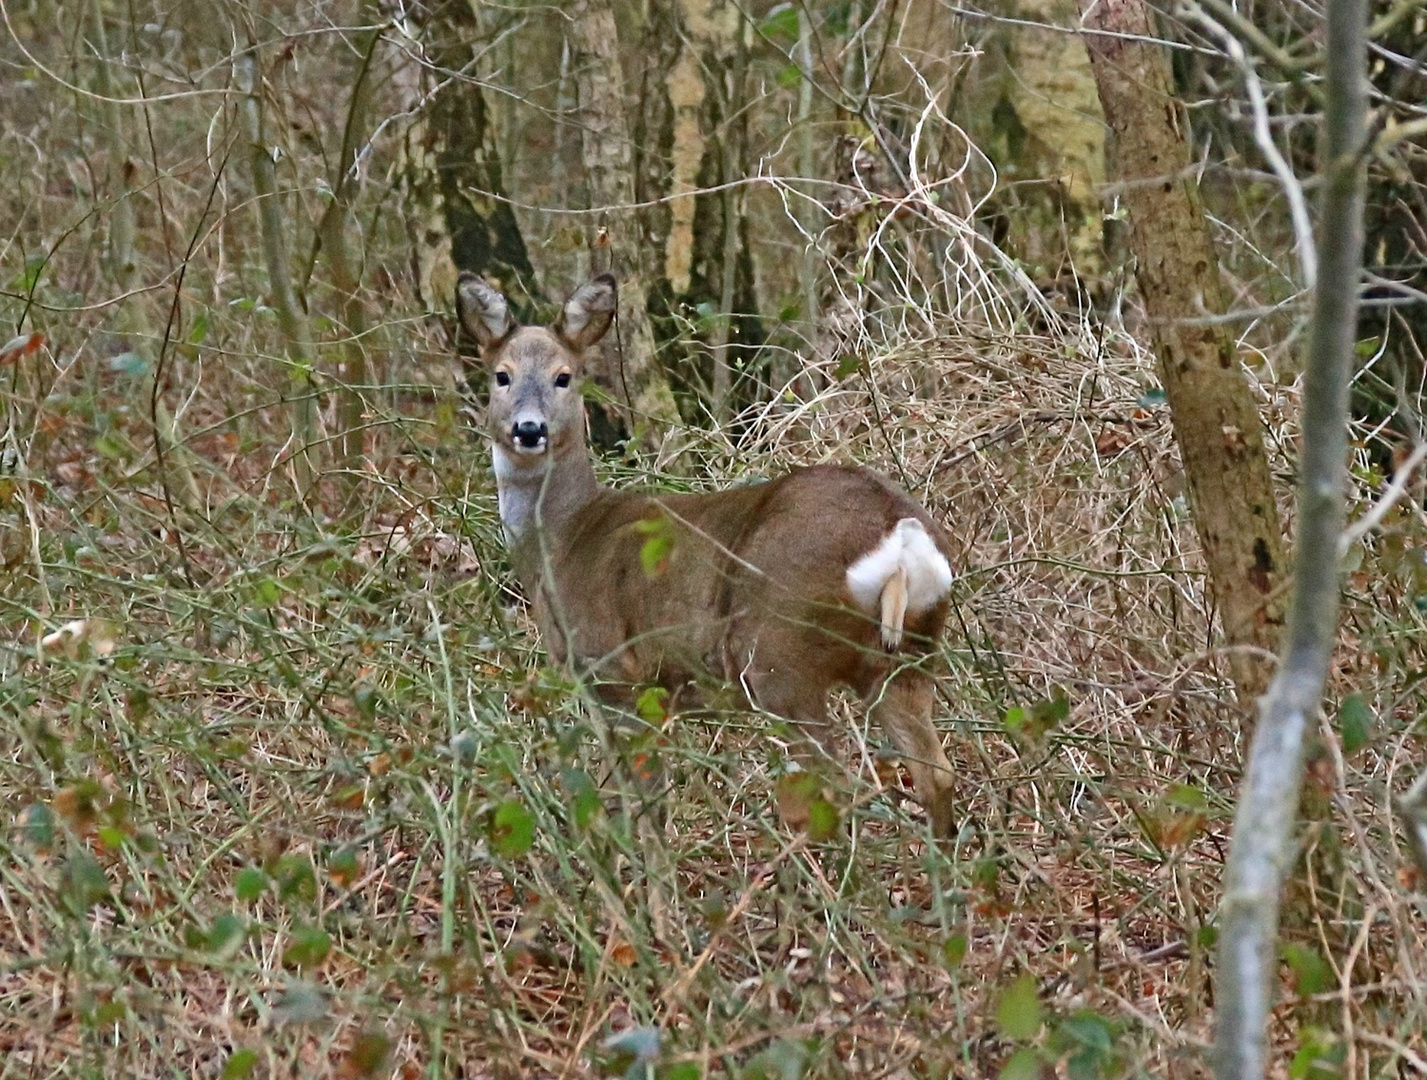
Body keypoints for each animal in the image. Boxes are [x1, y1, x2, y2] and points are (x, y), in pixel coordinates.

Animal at [459, 269, 958, 833]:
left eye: (564, 377)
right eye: (502, 375)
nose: (529, 429)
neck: (564, 540)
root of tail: (901, 538)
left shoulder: (612, 671)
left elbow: (637, 802)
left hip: (781, 657)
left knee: (833, 781)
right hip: (908, 656)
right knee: (936, 773)